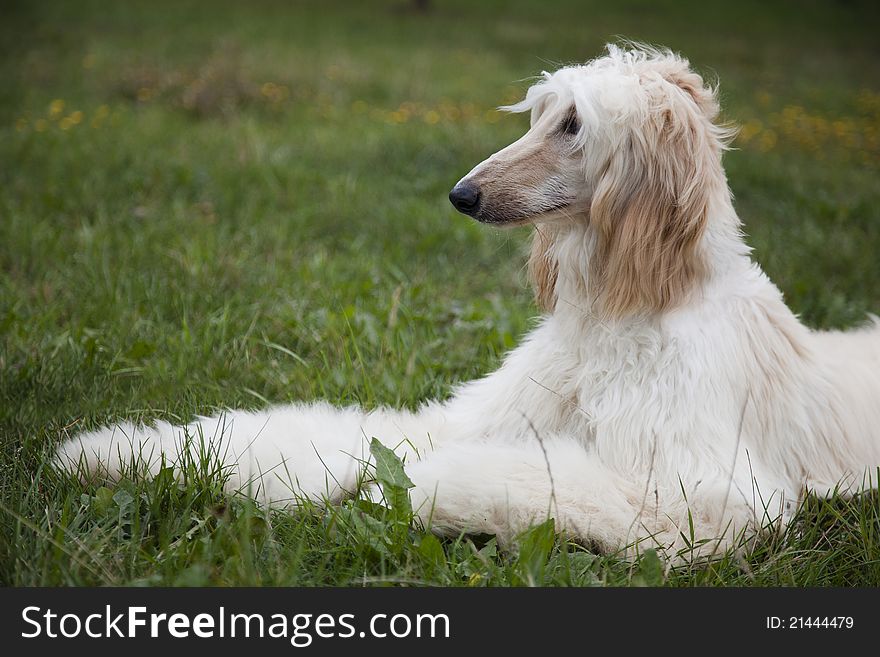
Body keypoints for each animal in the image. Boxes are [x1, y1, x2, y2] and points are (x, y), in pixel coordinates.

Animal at [58, 44, 880, 560]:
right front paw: (116, 453)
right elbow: (331, 438)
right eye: (540, 114)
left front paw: (406, 492)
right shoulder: (469, 416)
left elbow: (522, 478)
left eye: (573, 124)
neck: (624, 314)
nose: (462, 194)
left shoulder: (711, 500)